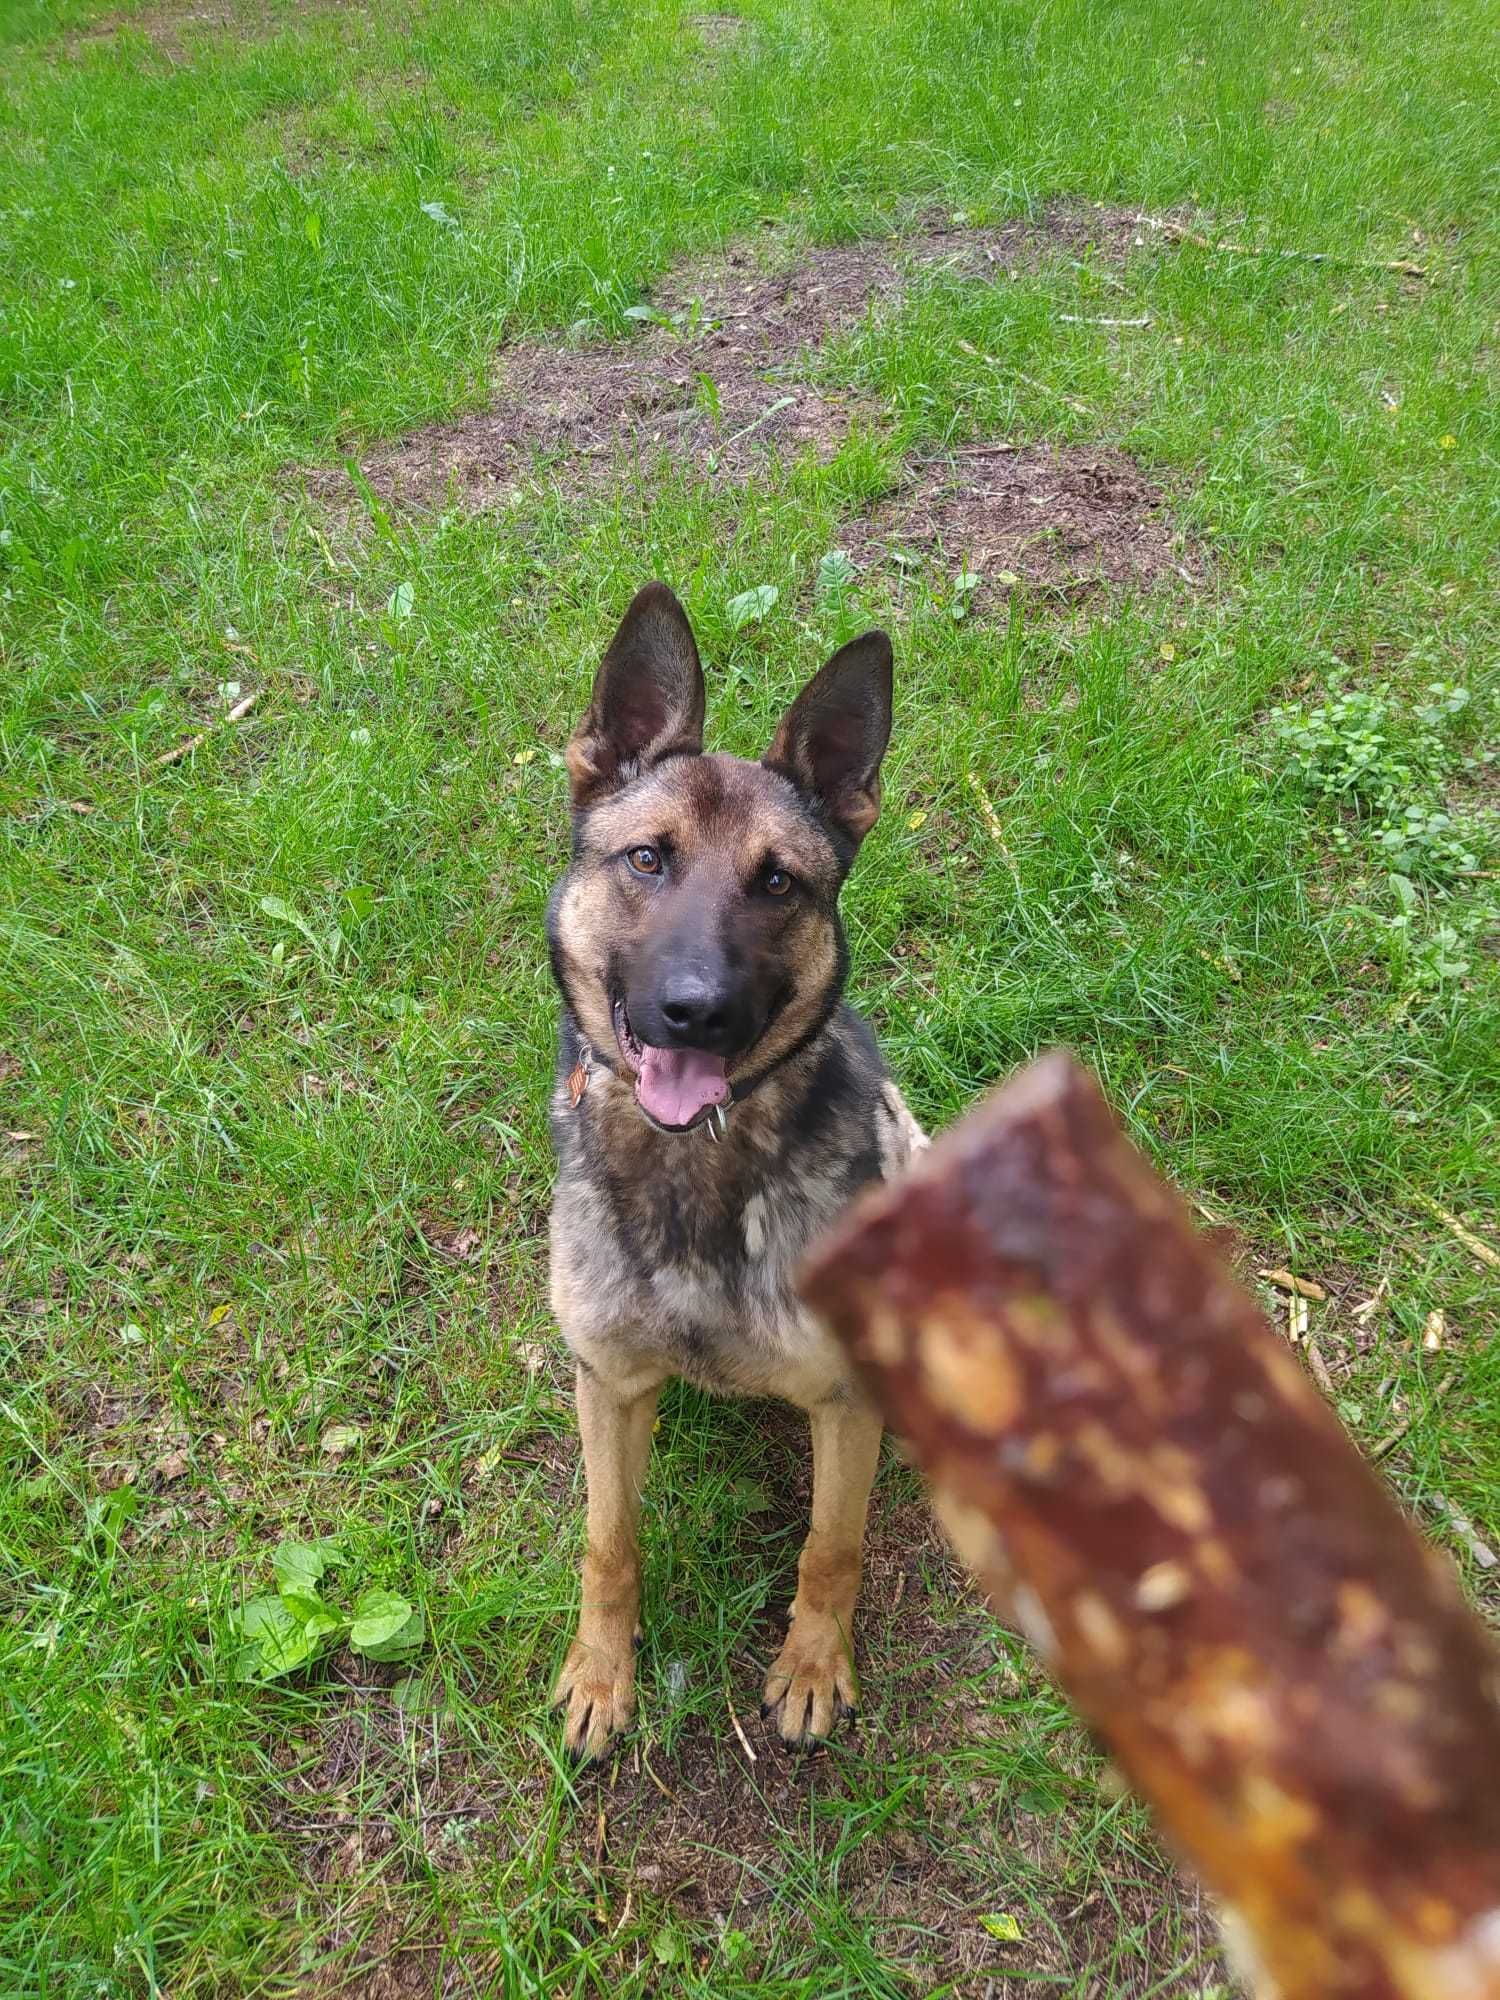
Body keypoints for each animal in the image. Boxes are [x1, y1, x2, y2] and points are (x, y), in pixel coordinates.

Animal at [548, 580, 928, 1752]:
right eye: (647, 859)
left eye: (778, 882)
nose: (696, 1010)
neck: (695, 1171)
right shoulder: (607, 1383)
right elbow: (609, 1544)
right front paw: (601, 1674)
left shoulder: (843, 1404)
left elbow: (830, 1549)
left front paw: (811, 1666)